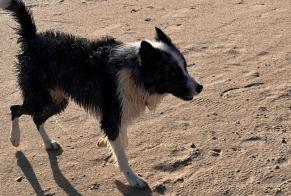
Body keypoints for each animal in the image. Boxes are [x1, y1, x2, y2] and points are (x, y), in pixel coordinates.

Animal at [1, 0, 203, 188]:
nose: (200, 87)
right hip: (40, 97)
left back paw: (48, 143)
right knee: (15, 109)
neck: (135, 70)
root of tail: (33, 38)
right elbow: (122, 155)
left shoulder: (119, 116)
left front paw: (109, 145)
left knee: (37, 118)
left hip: (57, 100)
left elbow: (122, 142)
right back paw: (14, 138)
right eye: (173, 74)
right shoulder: (111, 118)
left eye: (185, 67)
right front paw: (133, 179)